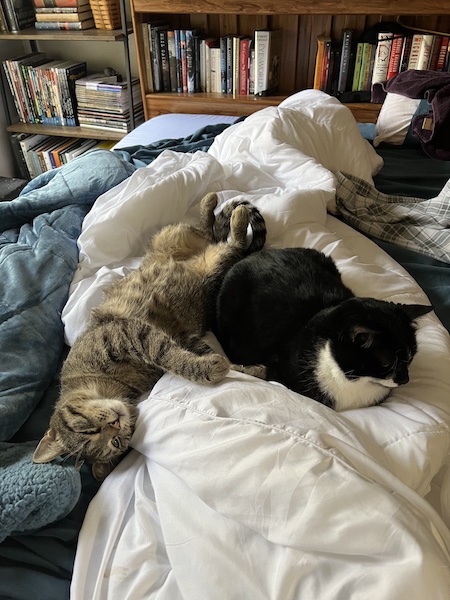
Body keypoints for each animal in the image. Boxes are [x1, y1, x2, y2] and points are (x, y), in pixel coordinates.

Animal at [35, 195, 268, 480]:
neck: (111, 384)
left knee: (218, 235)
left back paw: (221, 208)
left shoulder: (130, 334)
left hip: (174, 240)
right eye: (115, 443)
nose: (115, 423)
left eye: (87, 429)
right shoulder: (179, 337)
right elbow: (204, 356)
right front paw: (240, 369)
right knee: (222, 241)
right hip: (210, 266)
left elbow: (168, 355)